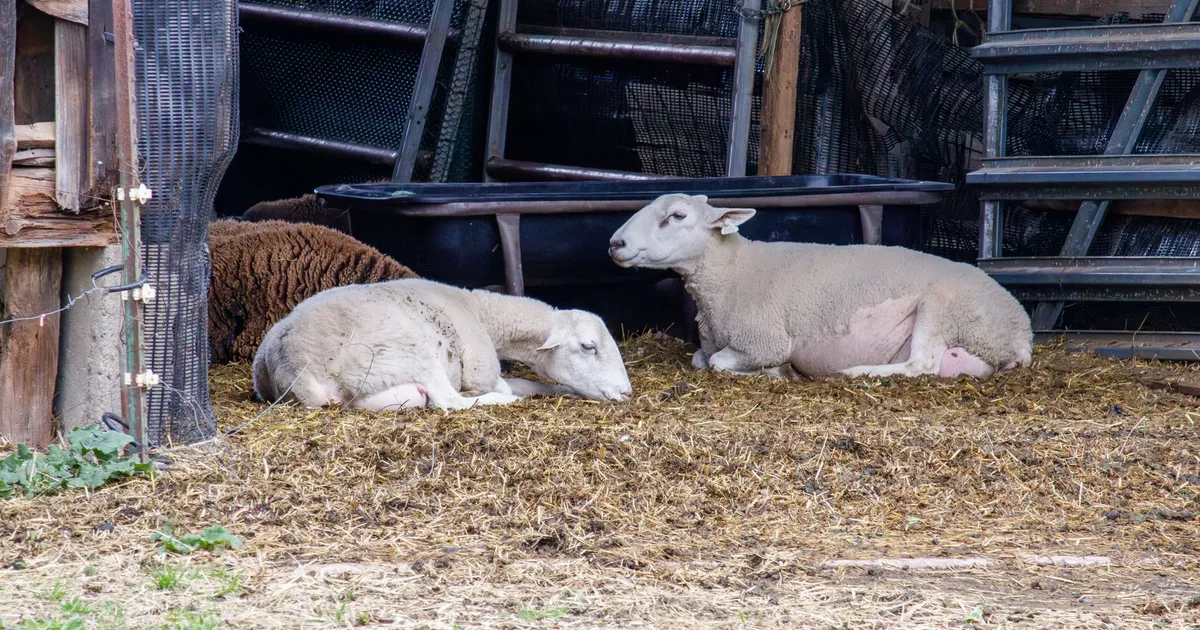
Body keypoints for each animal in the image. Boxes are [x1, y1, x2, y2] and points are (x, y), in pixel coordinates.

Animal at [252, 277, 633, 410]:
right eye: (588, 347)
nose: (626, 392)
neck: (482, 313)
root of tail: (293, 364)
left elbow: (533, 382)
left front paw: (565, 391)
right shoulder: (480, 370)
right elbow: (510, 385)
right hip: (409, 353)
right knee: (450, 402)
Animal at [607, 193, 1033, 380]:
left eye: (677, 216)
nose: (615, 243)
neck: (731, 274)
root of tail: (1022, 332)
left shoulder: (765, 341)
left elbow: (717, 363)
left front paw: (776, 373)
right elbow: (700, 359)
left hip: (945, 307)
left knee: (921, 365)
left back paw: (859, 372)